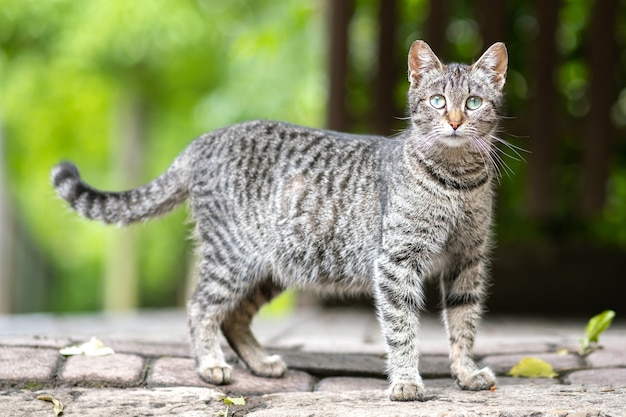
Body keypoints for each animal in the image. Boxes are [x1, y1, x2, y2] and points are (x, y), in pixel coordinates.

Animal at [50, 39, 508, 400]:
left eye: (473, 102)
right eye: (437, 101)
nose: (455, 121)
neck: (457, 183)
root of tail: (202, 141)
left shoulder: (468, 261)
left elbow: (464, 322)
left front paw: (465, 372)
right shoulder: (397, 261)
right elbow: (402, 328)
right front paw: (407, 381)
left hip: (272, 267)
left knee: (234, 317)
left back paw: (259, 363)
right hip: (234, 258)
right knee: (201, 307)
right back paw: (210, 364)